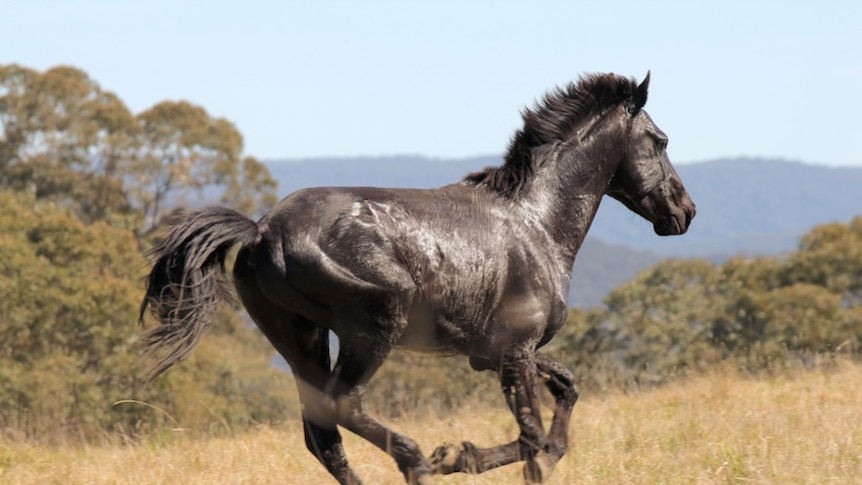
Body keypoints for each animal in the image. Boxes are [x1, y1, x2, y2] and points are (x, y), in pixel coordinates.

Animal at [140, 70, 696, 482]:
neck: (535, 224)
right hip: (373, 325)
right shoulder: (515, 352)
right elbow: (534, 436)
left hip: (303, 337)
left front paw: (476, 457)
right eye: (661, 140)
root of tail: (260, 232)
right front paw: (454, 456)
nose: (684, 212)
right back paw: (417, 461)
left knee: (323, 435)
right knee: (343, 406)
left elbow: (563, 402)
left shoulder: (493, 353)